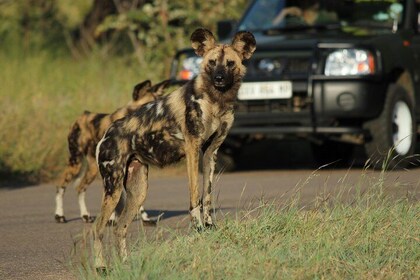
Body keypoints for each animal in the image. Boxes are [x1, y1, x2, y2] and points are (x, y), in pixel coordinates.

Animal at [55, 79, 171, 223]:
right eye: (148, 105)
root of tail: (81, 116)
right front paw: (112, 219)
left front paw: (144, 218)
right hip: (76, 163)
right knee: (60, 186)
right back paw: (59, 215)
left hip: (92, 169)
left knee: (80, 188)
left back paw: (85, 215)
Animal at [92, 27, 256, 270]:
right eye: (212, 62)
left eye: (229, 64)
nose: (218, 78)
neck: (216, 101)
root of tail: (107, 133)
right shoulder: (192, 149)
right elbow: (195, 197)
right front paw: (198, 228)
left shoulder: (210, 153)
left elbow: (207, 195)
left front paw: (209, 226)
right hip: (113, 188)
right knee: (97, 228)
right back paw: (100, 267)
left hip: (138, 191)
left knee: (120, 228)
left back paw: (127, 266)